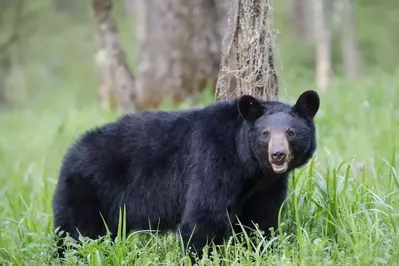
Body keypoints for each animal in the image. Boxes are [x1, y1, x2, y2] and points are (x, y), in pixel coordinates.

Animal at [52, 90, 322, 260]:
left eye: (290, 132)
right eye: (265, 134)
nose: (277, 155)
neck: (249, 166)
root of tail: (71, 151)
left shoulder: (266, 186)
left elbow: (261, 219)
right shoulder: (213, 159)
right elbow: (204, 216)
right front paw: (201, 256)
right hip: (89, 189)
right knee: (75, 233)